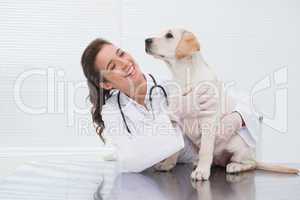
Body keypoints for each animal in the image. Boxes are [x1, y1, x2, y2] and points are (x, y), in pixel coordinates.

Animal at [145, 27, 298, 180]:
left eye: (169, 35)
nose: (146, 40)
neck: (184, 76)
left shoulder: (208, 122)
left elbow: (205, 150)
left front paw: (202, 172)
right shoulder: (175, 122)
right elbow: (175, 149)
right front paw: (167, 165)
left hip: (239, 143)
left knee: (251, 163)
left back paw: (235, 166)